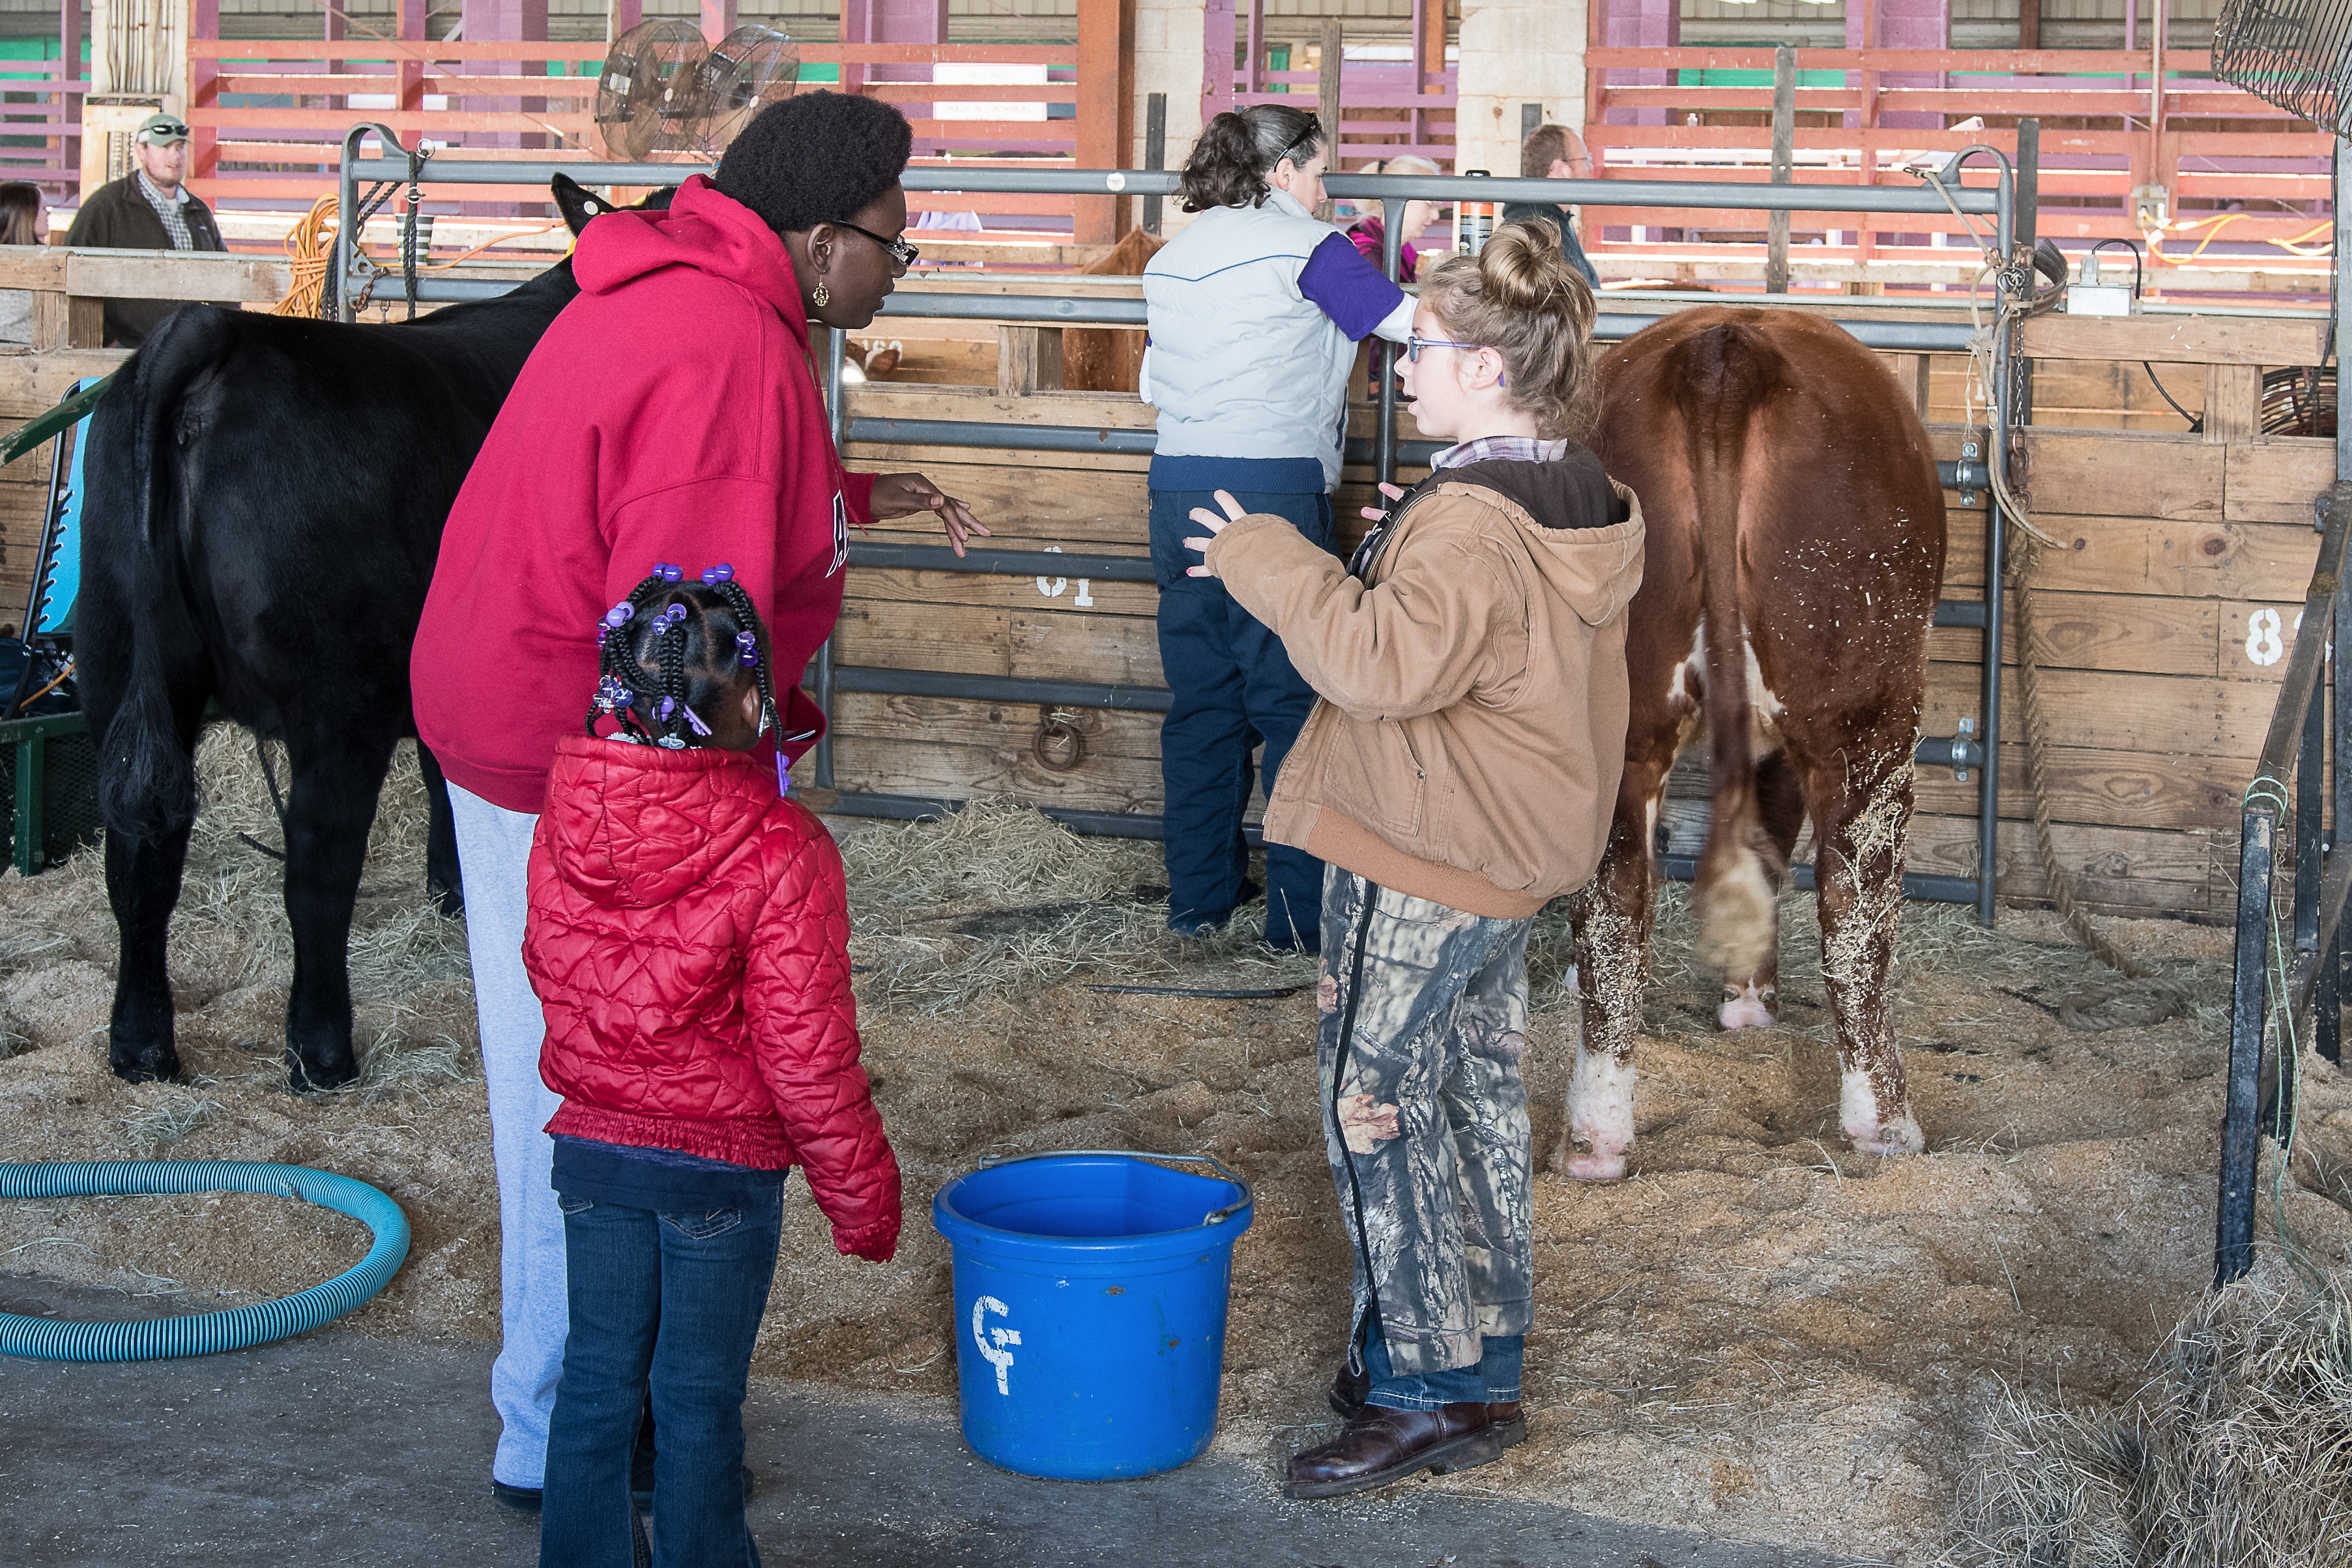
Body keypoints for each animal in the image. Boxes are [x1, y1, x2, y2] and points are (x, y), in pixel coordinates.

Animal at [84, 169, 654, 1081]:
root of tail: (214, 330)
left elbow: (449, 772)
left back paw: (141, 1045)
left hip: (119, 658)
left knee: (140, 845)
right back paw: (322, 1051)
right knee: (318, 859)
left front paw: (454, 892)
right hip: (335, 694)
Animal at [1561, 305, 1947, 1185]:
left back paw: (1595, 1138)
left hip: (1621, 722)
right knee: (1854, 905)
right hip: (1865, 713)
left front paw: (1744, 998)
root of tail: (1726, 345)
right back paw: (1887, 1125)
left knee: (1615, 903)